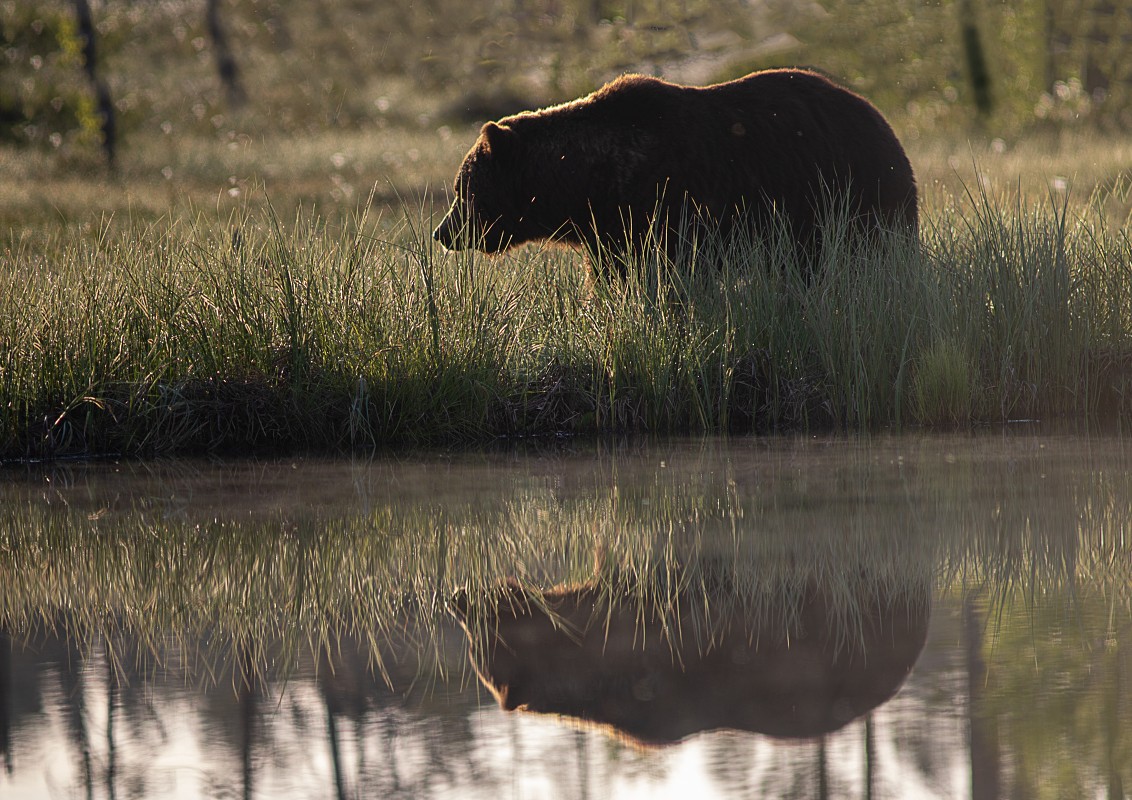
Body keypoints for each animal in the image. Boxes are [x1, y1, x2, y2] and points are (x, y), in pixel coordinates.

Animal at [432, 69, 919, 274]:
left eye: (463, 189)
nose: (443, 232)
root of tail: (886, 125)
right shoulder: (608, 234)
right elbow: (612, 277)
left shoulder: (668, 206)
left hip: (848, 194)